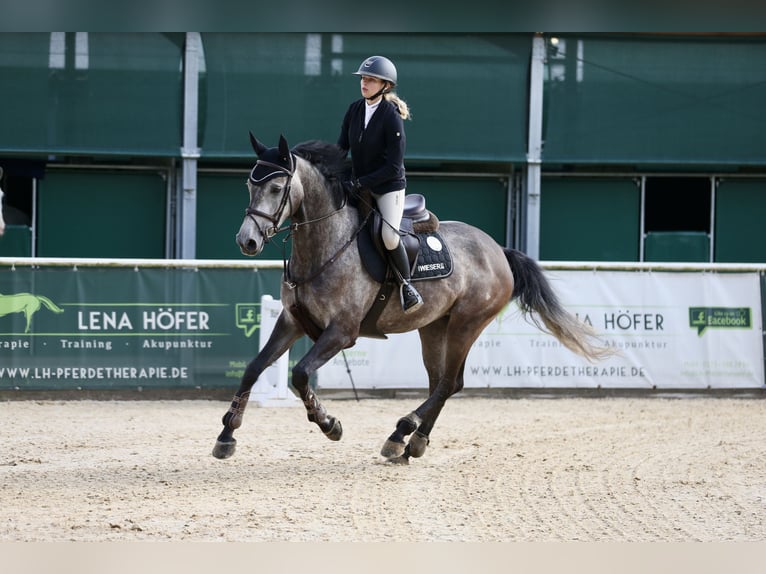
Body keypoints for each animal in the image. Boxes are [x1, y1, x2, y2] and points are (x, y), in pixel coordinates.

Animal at [212, 136, 612, 468]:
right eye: (249, 184)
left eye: (277, 187)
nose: (247, 241)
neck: (324, 246)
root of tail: (497, 249)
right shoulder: (292, 321)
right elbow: (253, 368)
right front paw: (227, 434)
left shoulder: (341, 332)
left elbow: (299, 374)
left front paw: (329, 424)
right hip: (434, 327)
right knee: (441, 383)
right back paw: (410, 443)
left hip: (467, 324)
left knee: (449, 383)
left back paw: (402, 432)